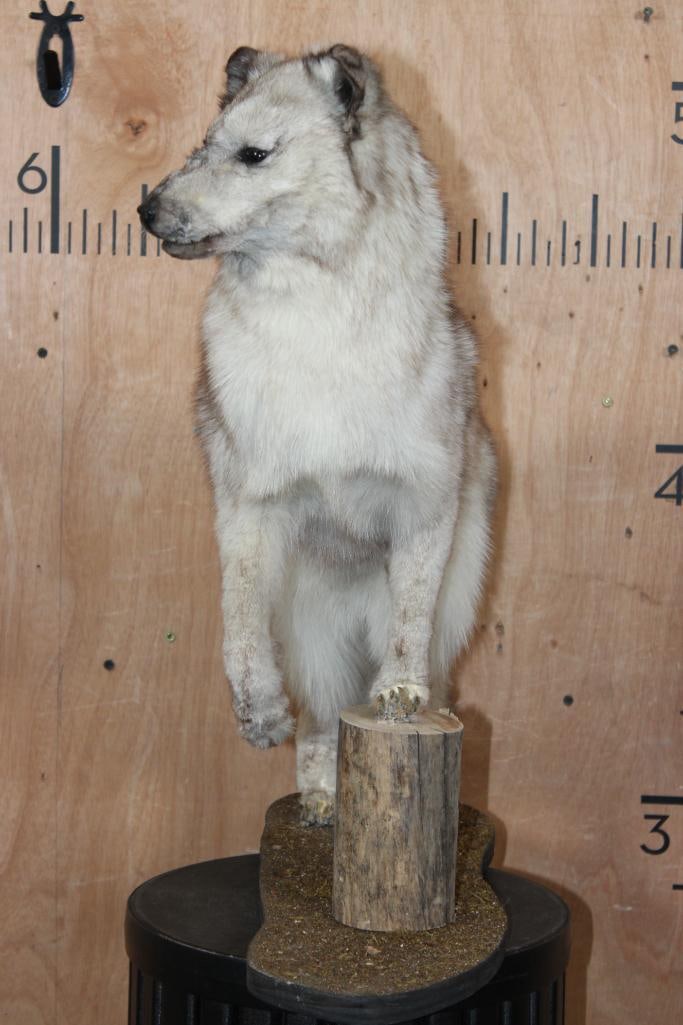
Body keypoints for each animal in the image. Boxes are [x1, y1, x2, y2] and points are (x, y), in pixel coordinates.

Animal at [138, 43, 497, 826]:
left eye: (253, 154)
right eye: (202, 146)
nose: (147, 210)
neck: (315, 314)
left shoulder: (424, 508)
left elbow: (409, 618)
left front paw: (400, 692)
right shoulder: (248, 508)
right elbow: (238, 623)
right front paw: (258, 712)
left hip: (454, 598)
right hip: (314, 638)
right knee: (324, 718)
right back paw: (321, 798)